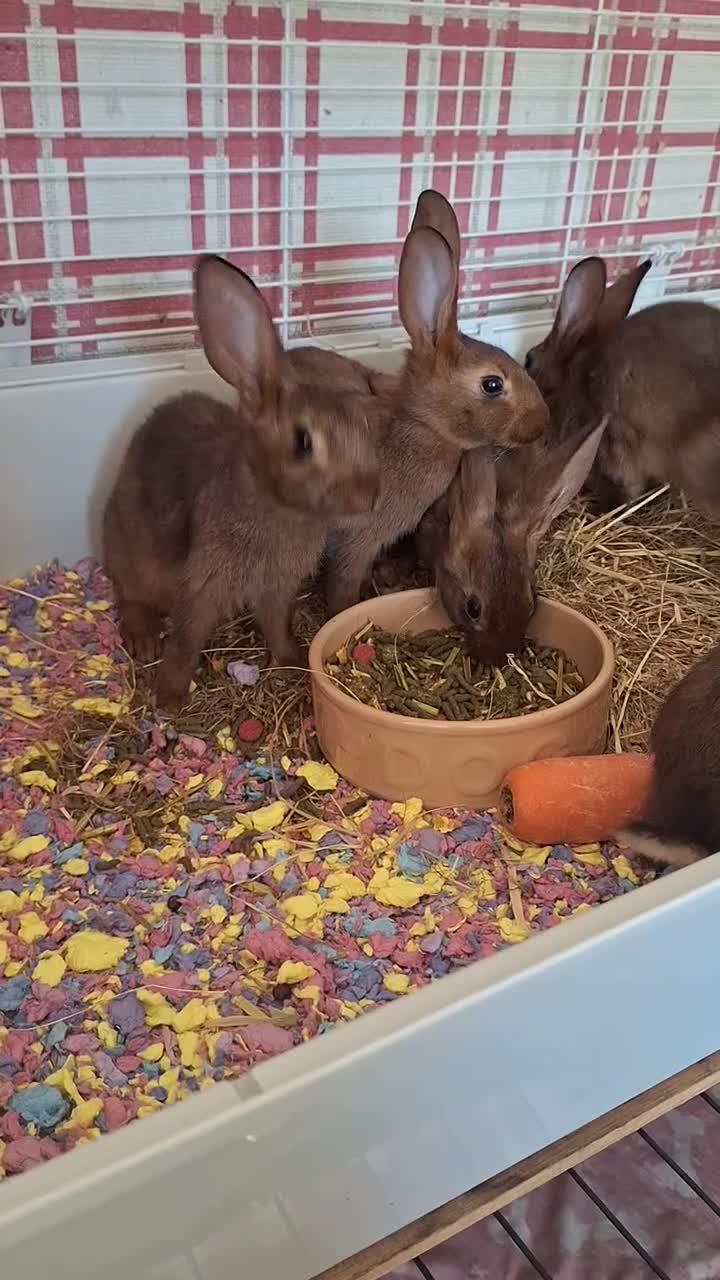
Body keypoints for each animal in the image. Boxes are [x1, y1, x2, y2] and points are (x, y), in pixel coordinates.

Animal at [103, 255, 380, 710]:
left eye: (363, 424)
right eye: (303, 442)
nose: (369, 495)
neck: (275, 504)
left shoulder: (276, 589)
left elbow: (277, 625)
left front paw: (292, 662)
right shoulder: (200, 588)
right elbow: (186, 641)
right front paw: (169, 696)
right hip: (132, 553)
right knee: (130, 595)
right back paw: (144, 640)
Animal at [324, 190, 549, 617]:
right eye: (492, 384)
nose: (542, 422)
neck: (423, 426)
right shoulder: (358, 538)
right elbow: (343, 579)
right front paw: (343, 610)